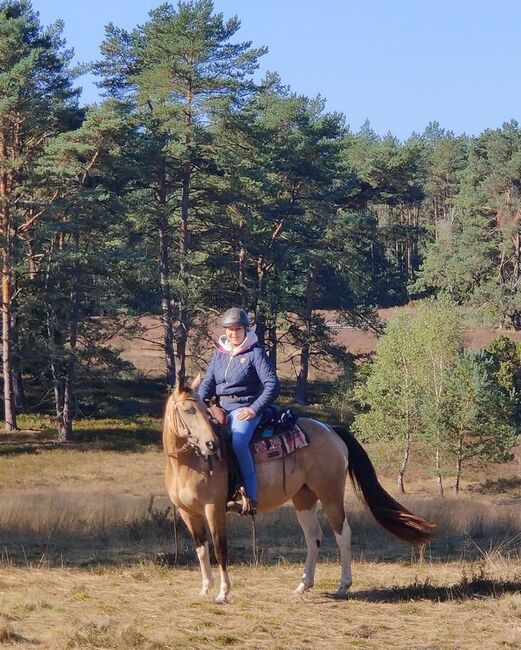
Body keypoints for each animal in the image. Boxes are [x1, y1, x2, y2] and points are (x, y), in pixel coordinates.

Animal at [162, 374, 434, 604]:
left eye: (203, 410)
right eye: (188, 410)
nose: (211, 444)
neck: (188, 463)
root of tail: (331, 430)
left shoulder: (214, 509)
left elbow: (220, 549)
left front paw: (223, 593)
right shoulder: (189, 513)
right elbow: (201, 549)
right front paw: (205, 588)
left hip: (330, 495)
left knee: (342, 534)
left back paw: (343, 586)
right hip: (303, 498)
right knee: (313, 537)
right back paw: (304, 585)